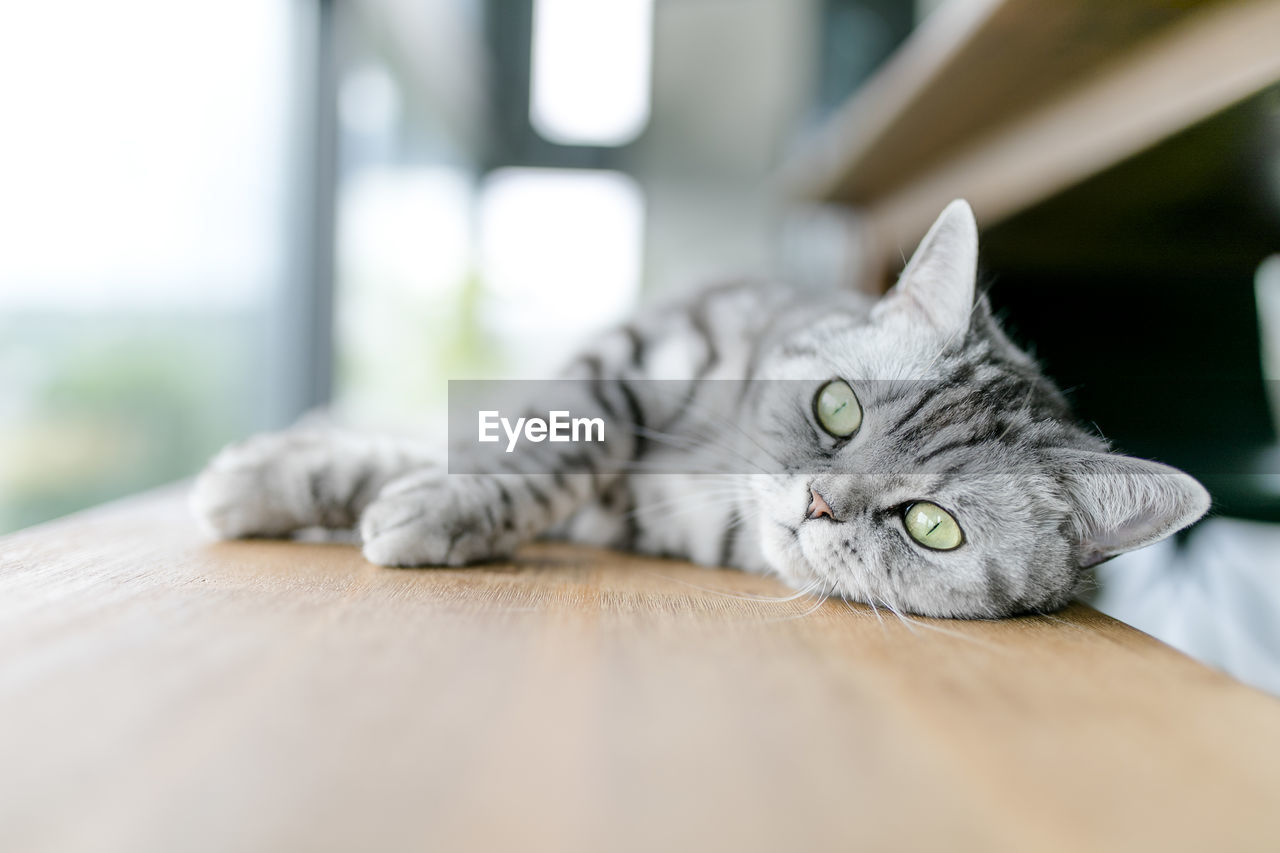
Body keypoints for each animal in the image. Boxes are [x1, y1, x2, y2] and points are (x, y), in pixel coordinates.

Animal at [192, 202, 1208, 614]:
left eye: (931, 524)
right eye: (837, 410)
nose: (819, 502)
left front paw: (428, 512)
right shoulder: (634, 356)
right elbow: (535, 447)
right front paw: (275, 481)